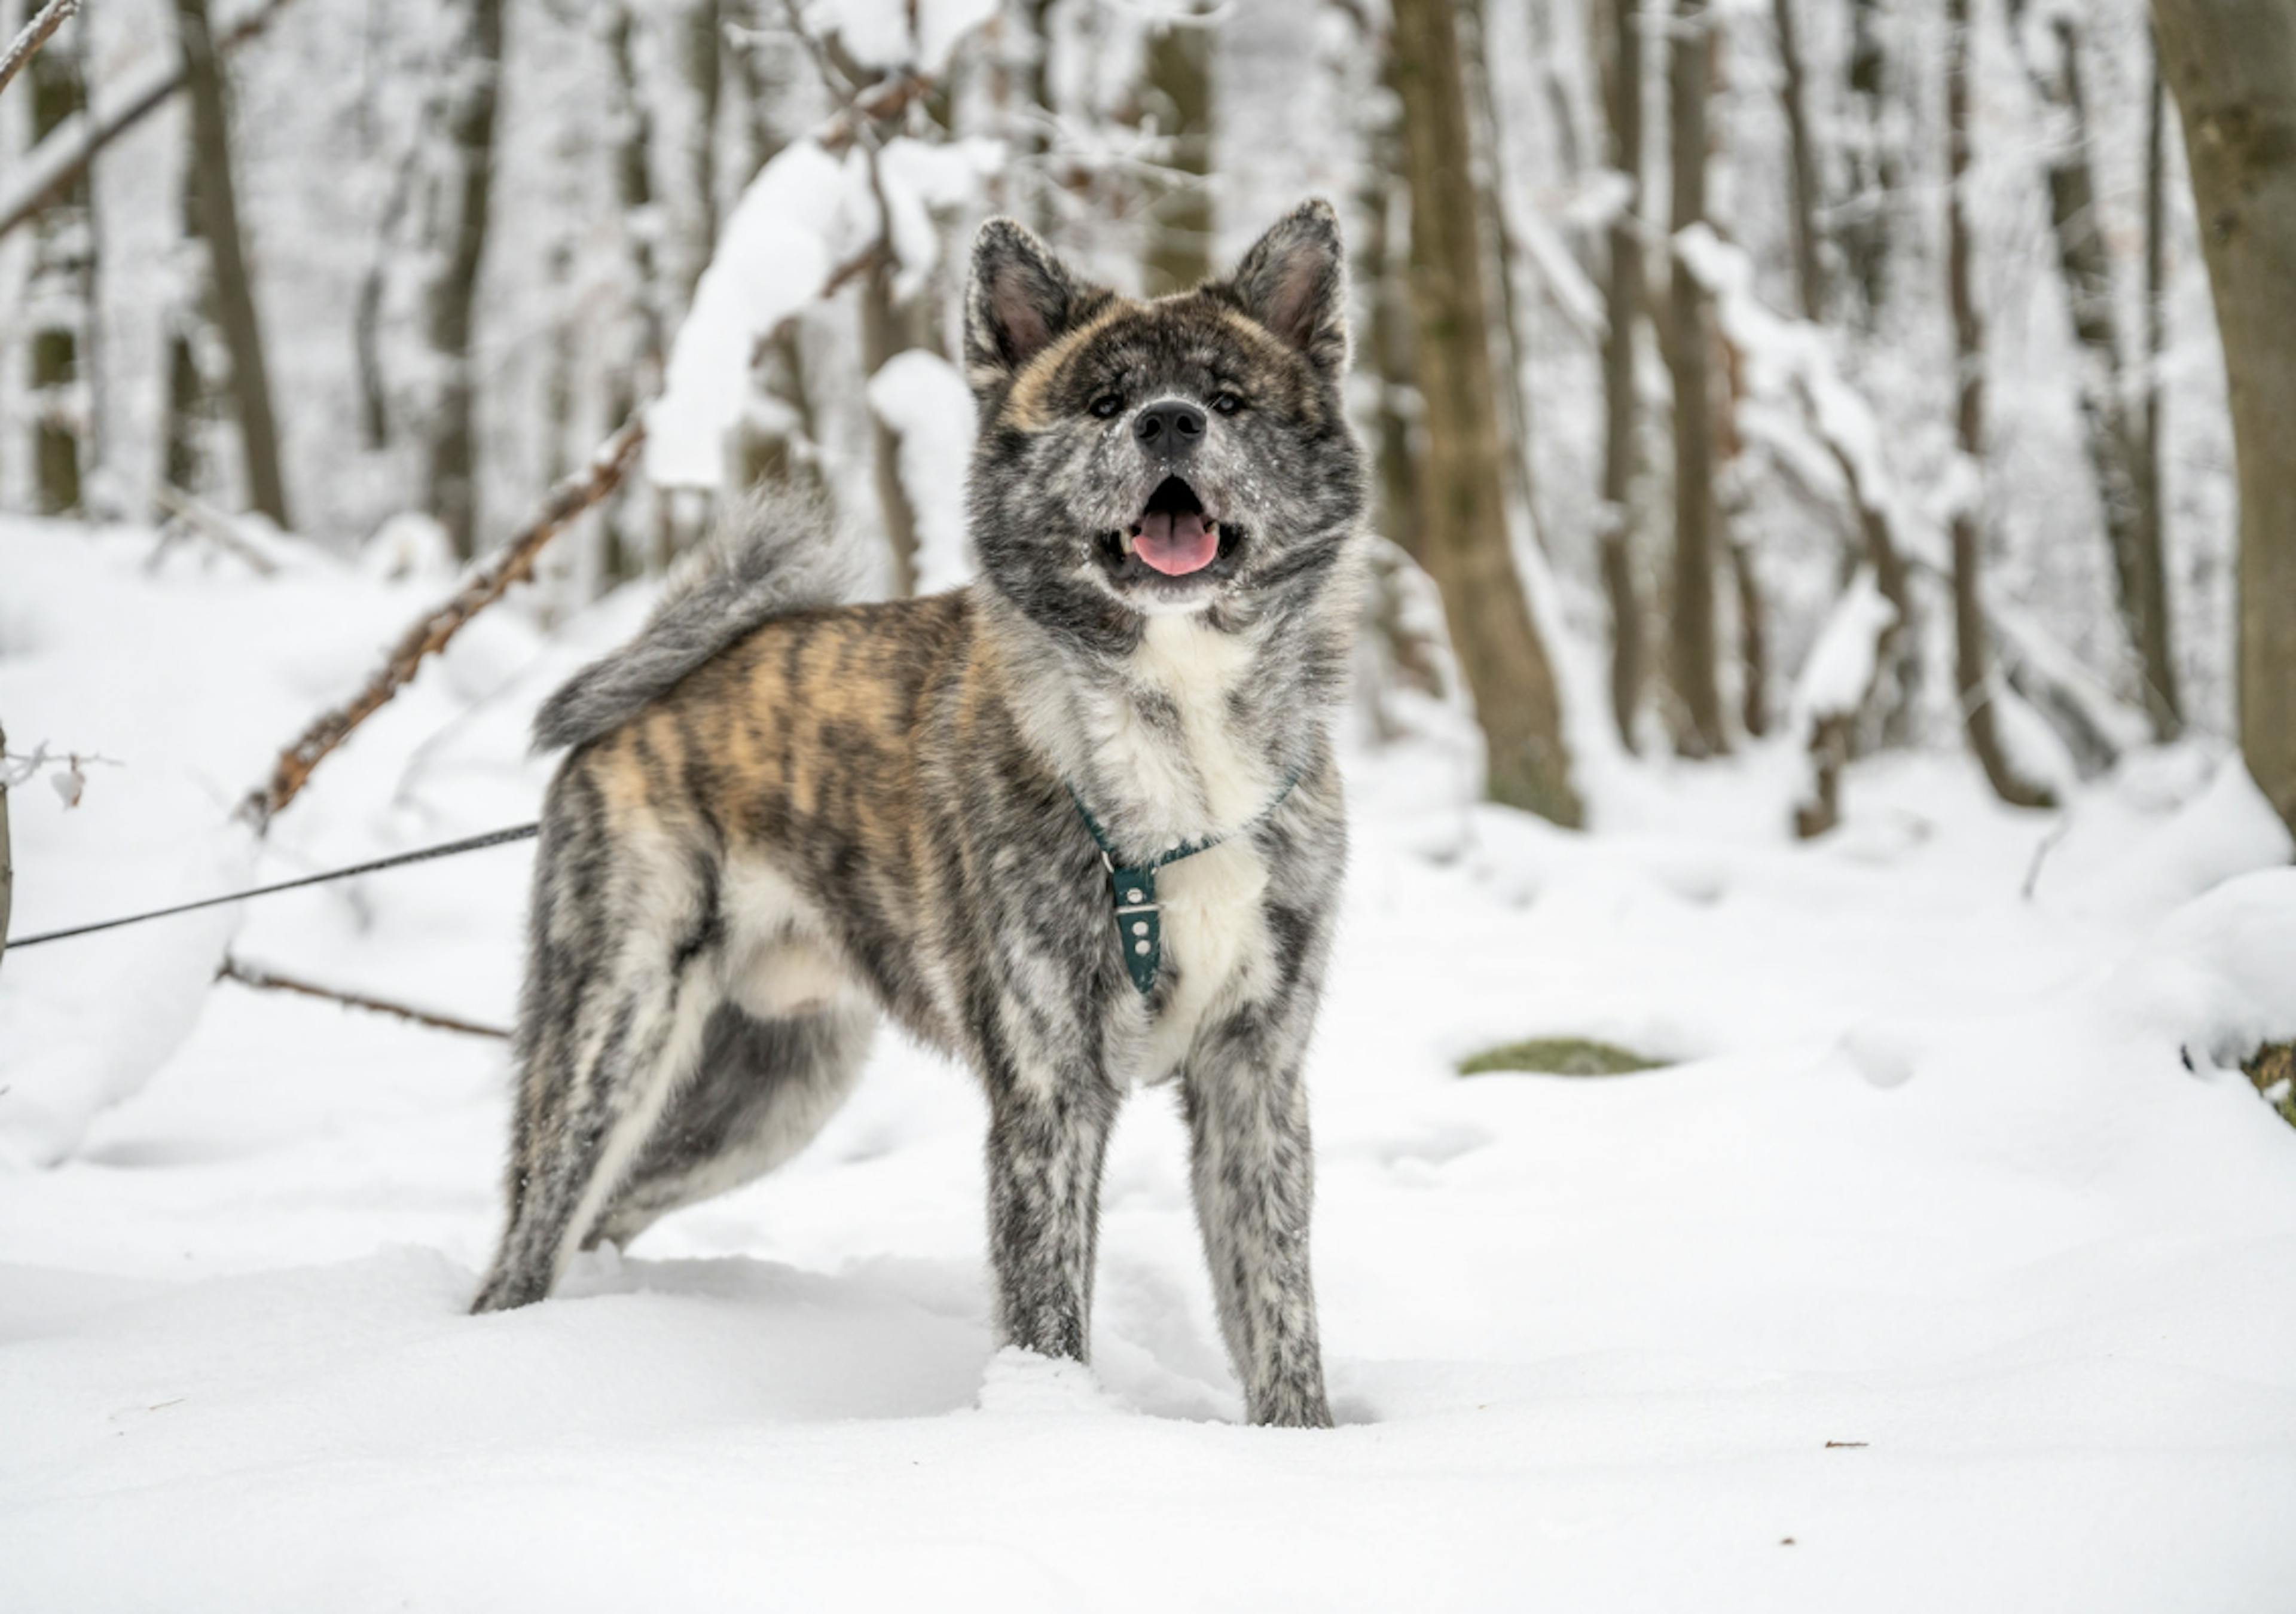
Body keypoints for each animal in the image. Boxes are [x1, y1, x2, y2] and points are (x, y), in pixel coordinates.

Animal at [468, 198, 1359, 1423]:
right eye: (1104, 404)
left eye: (1228, 400)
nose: (1171, 423)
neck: (1178, 719)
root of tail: (651, 693)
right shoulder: (1048, 1090)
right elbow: (1048, 1315)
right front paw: (1050, 1427)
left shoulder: (1255, 1076)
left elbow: (1281, 1313)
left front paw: (1305, 1449)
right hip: (615, 1036)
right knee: (533, 1236)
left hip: (767, 1091)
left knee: (607, 1217)